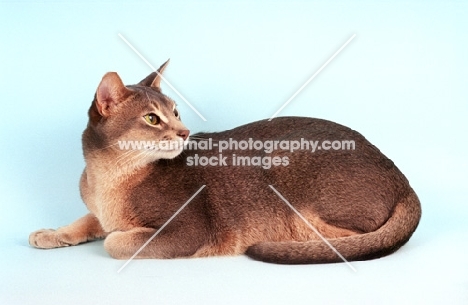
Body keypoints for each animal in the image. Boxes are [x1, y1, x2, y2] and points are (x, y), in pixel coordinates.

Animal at [29, 60, 420, 264]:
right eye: (153, 119)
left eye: (175, 112)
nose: (185, 132)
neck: (108, 177)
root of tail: (403, 181)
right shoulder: (96, 207)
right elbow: (86, 220)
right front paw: (51, 233)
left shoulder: (188, 230)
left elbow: (114, 242)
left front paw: (117, 233)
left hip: (289, 178)